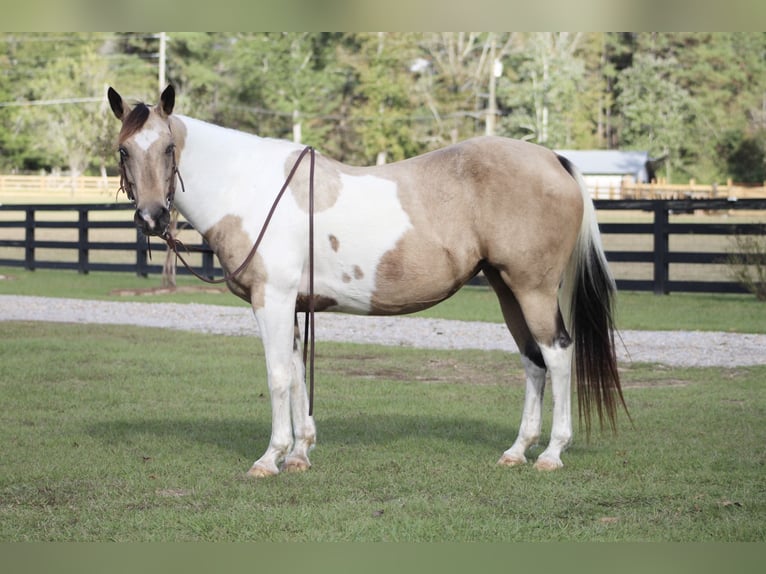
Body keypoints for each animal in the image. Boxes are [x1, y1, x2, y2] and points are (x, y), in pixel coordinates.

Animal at [108, 85, 628, 480]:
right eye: (124, 150)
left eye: (169, 148)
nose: (151, 217)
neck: (249, 187)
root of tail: (554, 160)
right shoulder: (293, 305)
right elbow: (297, 372)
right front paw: (300, 453)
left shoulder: (271, 300)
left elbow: (278, 376)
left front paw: (270, 458)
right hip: (506, 289)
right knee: (532, 360)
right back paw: (518, 450)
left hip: (533, 289)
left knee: (557, 354)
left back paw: (552, 453)